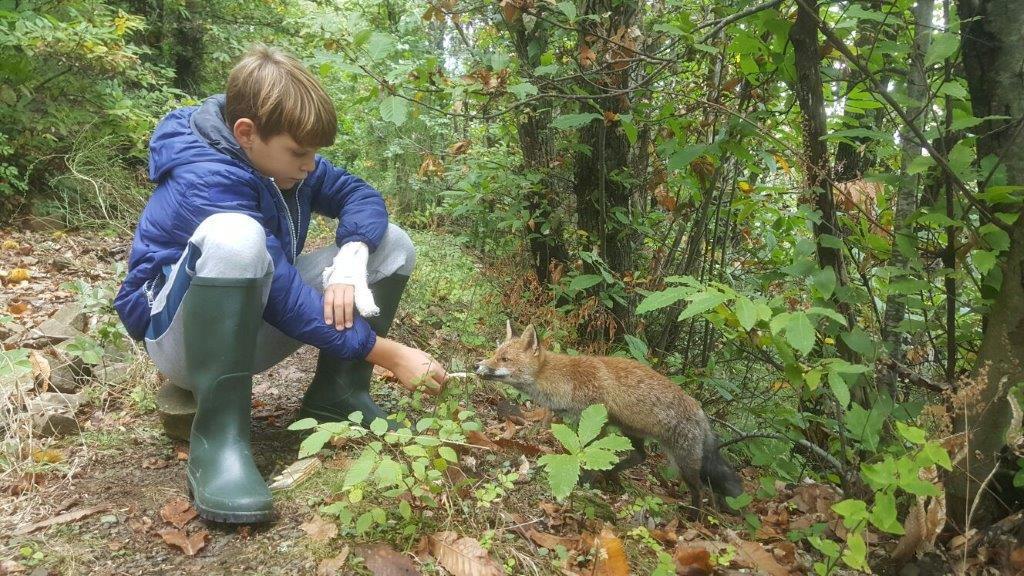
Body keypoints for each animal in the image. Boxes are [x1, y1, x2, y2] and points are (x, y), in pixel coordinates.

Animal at [475, 322, 743, 515]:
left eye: (504, 359)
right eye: (495, 353)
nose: (477, 365)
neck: (565, 380)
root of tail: (701, 412)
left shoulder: (597, 422)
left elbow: (588, 456)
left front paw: (585, 483)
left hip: (684, 462)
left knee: (701, 490)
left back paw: (694, 515)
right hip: (631, 433)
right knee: (641, 456)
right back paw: (613, 472)